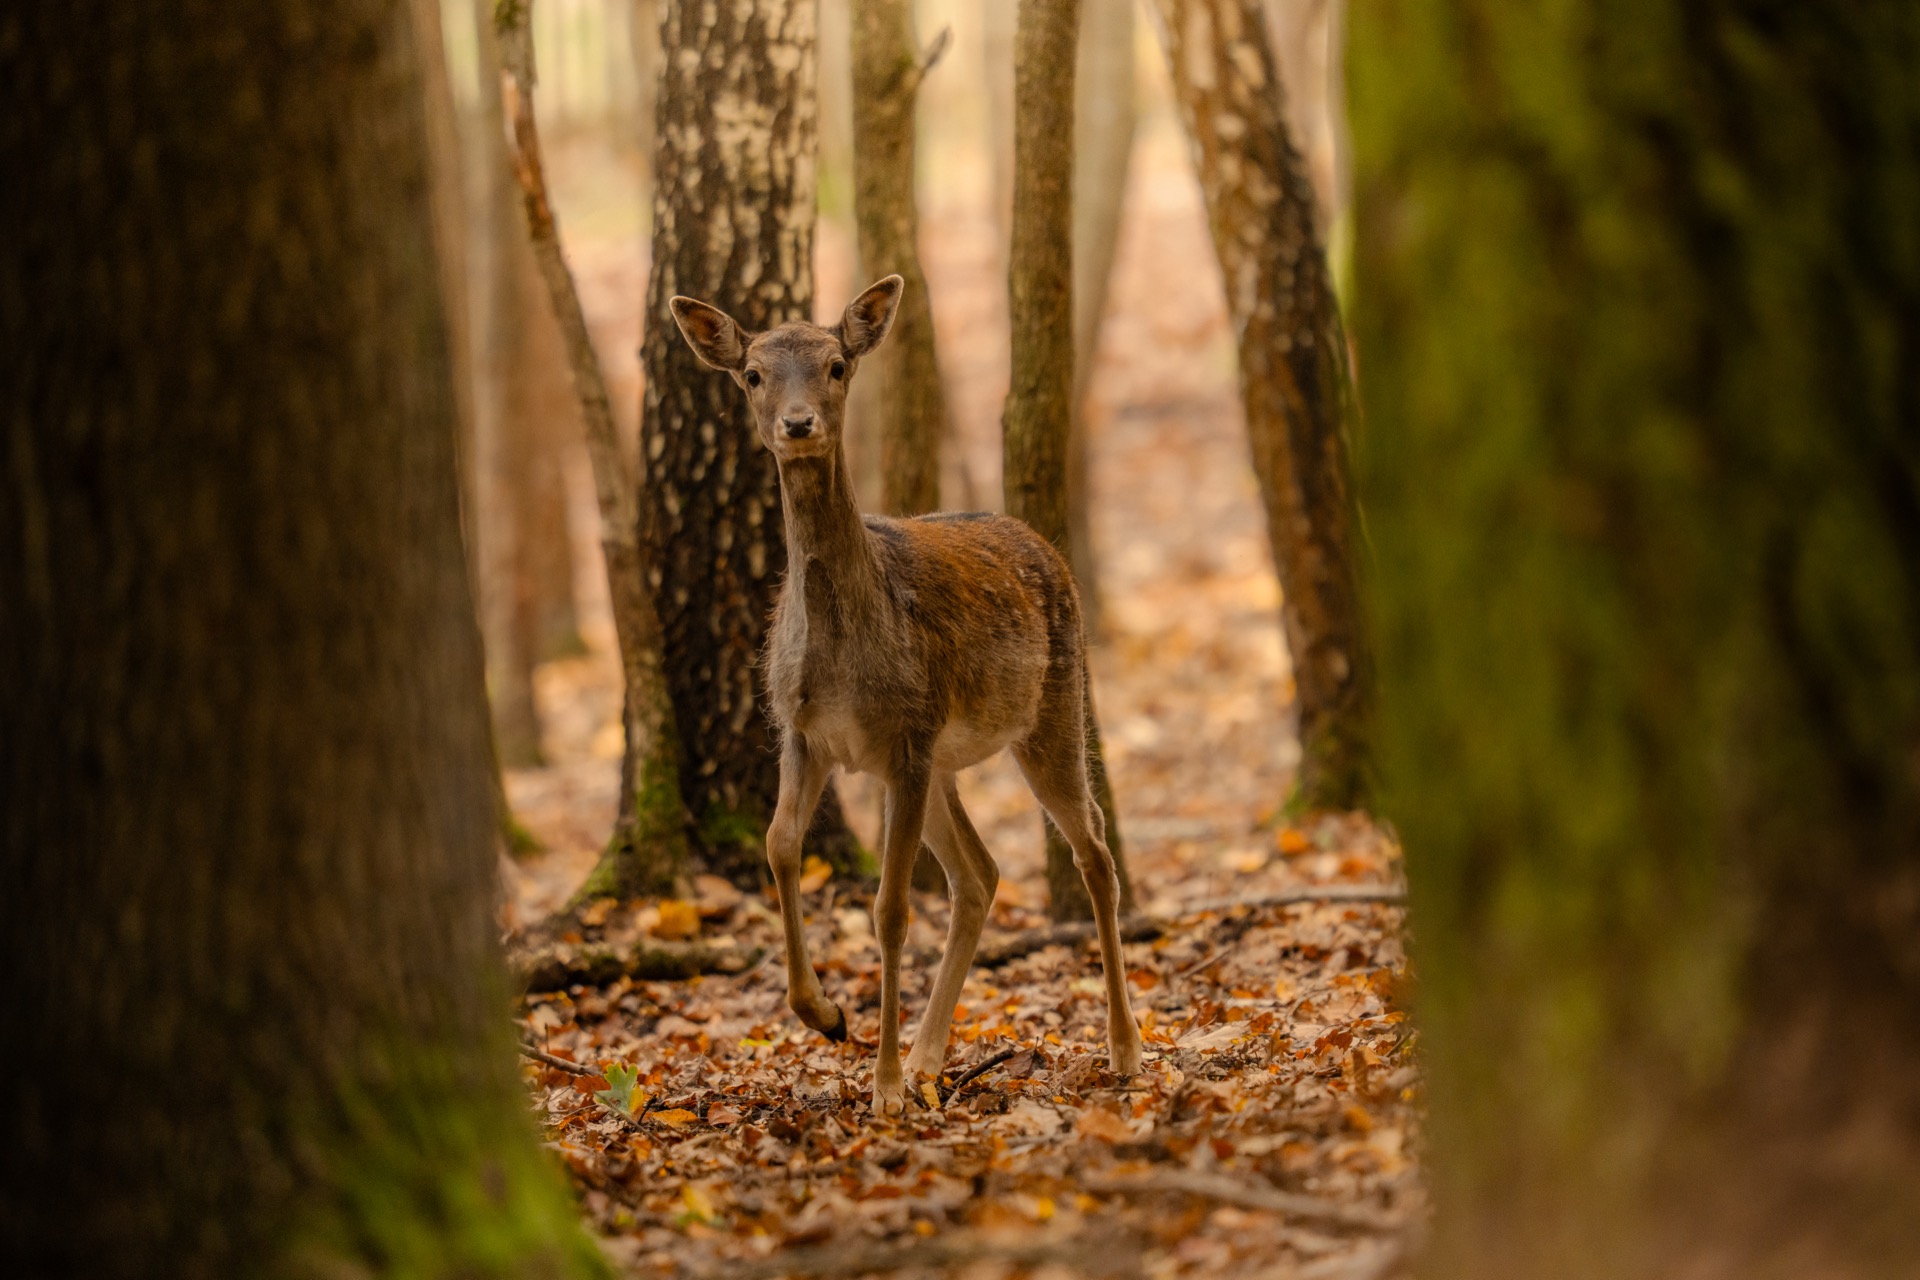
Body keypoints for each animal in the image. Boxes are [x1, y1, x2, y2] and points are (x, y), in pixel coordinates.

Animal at [670, 275, 1144, 1116]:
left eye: (835, 365)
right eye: (753, 374)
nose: (798, 424)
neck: (841, 658)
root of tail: (1043, 542)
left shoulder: (905, 736)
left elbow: (890, 910)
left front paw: (884, 1088)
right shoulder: (800, 731)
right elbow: (779, 845)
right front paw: (826, 1015)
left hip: (1052, 709)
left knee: (1093, 853)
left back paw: (1121, 1049)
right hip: (947, 760)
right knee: (980, 875)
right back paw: (929, 1059)